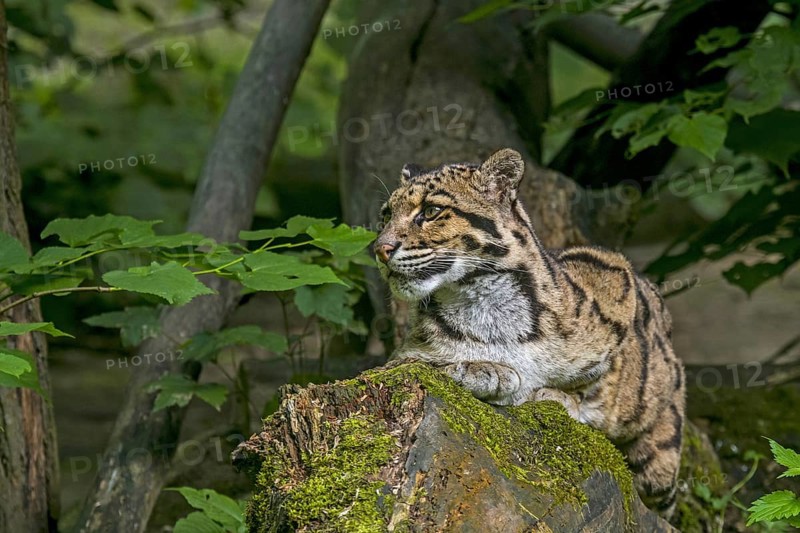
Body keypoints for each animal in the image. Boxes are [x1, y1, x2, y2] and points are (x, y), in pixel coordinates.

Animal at [372, 148, 686, 518]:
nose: (380, 248)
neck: (481, 299)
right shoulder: (403, 357)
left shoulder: (615, 284)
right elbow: (423, 362)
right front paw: (488, 371)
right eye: (385, 215)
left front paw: (554, 394)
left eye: (432, 211)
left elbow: (599, 382)